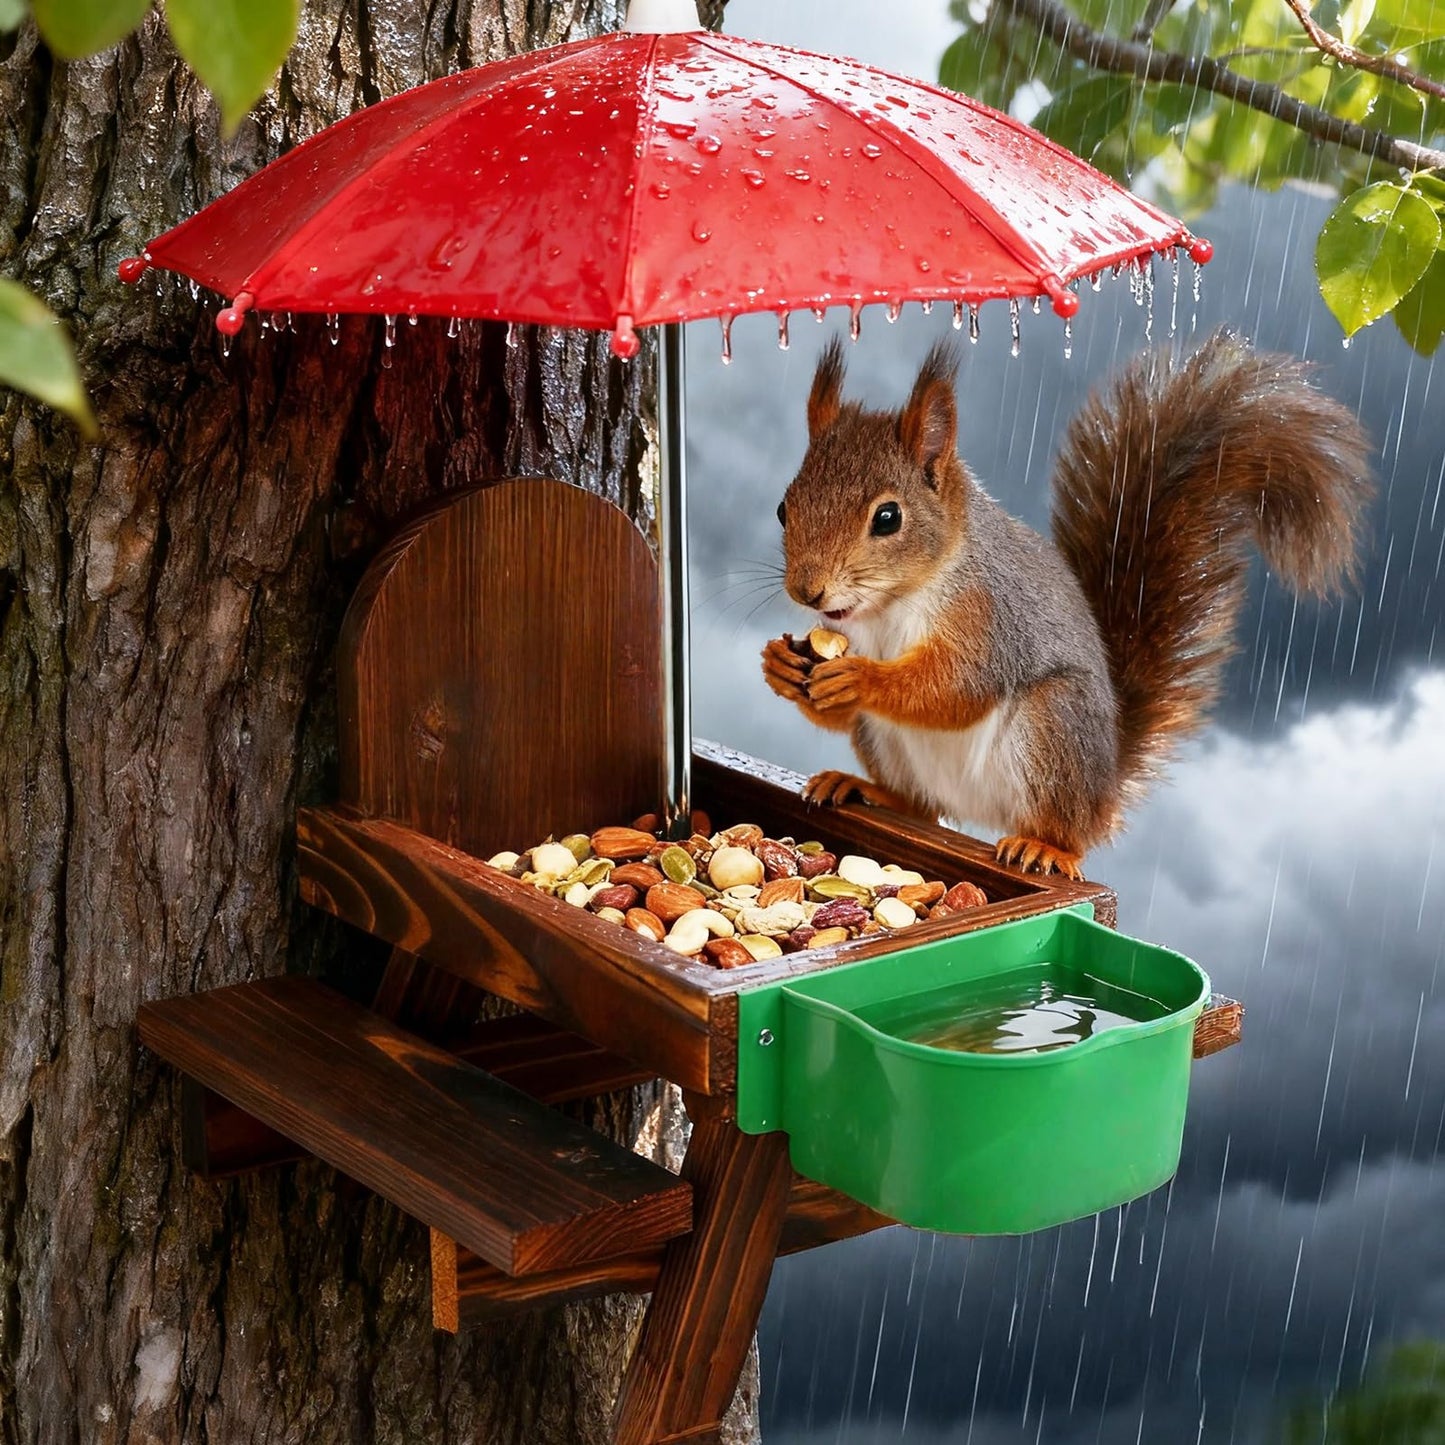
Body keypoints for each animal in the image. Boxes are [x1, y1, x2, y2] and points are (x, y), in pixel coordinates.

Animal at [761, 328, 1373, 879]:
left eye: (888, 518)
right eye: (784, 509)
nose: (807, 591)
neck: (890, 605)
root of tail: (1101, 794)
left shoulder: (993, 618)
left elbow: (958, 687)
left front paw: (861, 677)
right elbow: (843, 710)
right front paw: (782, 666)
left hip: (1054, 726)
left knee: (1065, 832)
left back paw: (1044, 849)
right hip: (892, 745)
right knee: (920, 805)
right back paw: (865, 788)